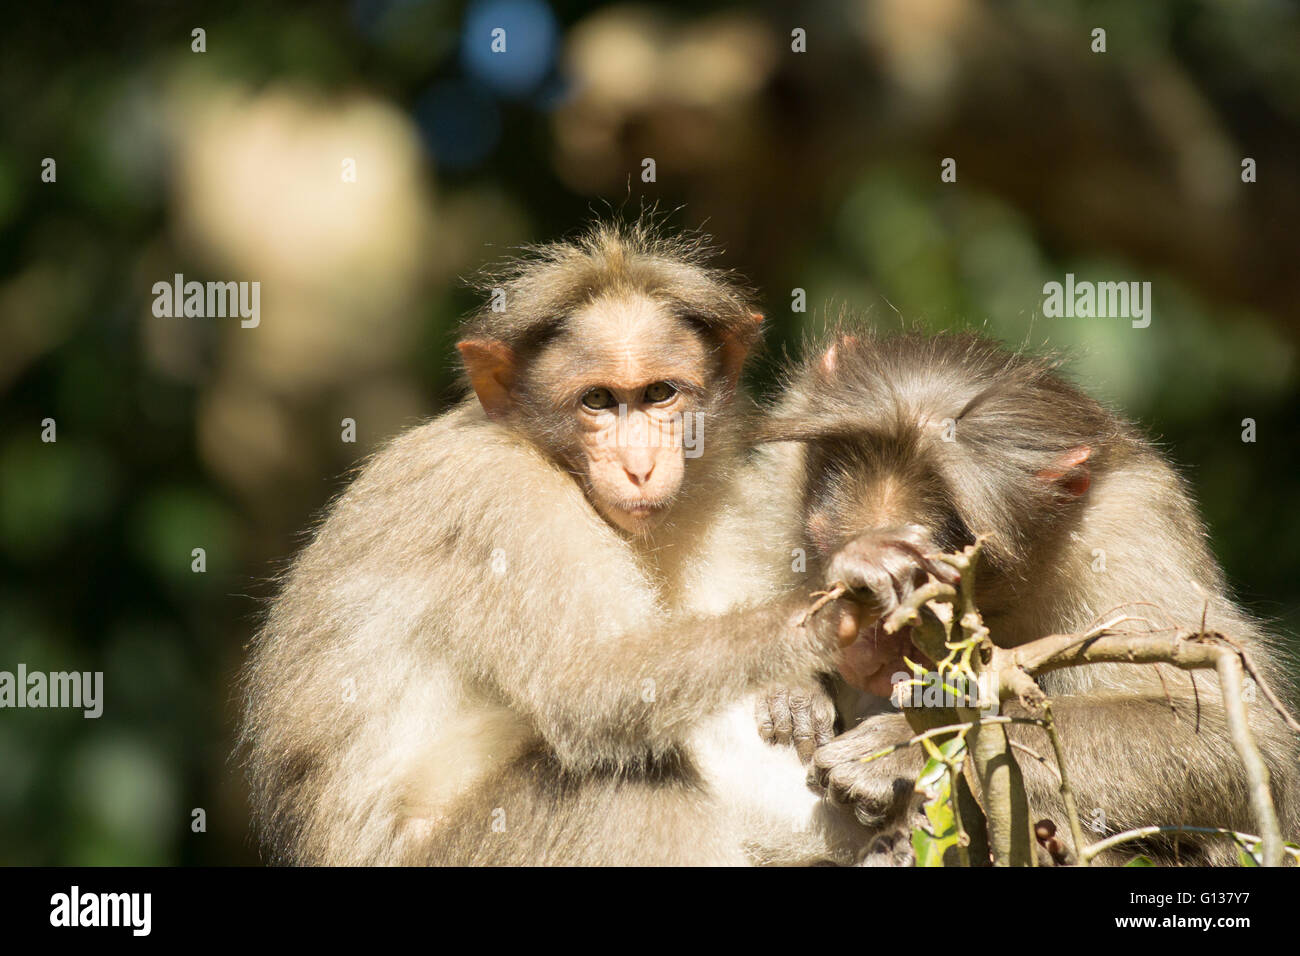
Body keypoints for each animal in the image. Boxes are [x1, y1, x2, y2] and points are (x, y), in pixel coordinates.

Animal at [239, 222, 868, 868]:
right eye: (597, 401)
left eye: (659, 393)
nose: (640, 466)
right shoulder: (501, 501)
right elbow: (587, 686)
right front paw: (830, 617)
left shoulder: (721, 500)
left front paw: (797, 693)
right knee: (626, 788)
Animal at [759, 329, 1300, 868]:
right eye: (831, 557)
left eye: (921, 596)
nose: (859, 649)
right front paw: (794, 688)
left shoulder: (1130, 531)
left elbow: (1243, 746)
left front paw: (903, 747)